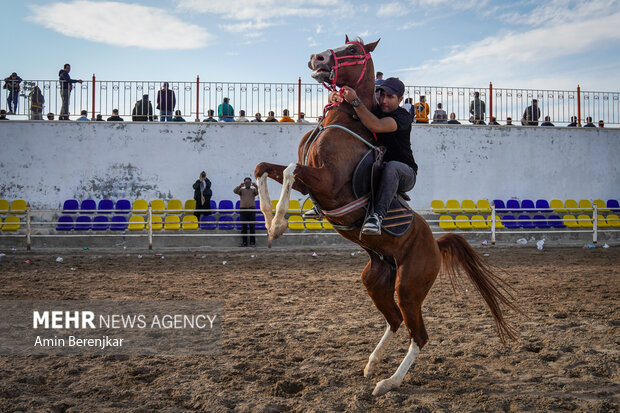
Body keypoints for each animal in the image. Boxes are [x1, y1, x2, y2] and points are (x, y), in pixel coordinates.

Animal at [254, 37, 516, 396]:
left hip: (409, 288)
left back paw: (388, 382)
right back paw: (372, 363)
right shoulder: (311, 183)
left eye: (353, 50)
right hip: (376, 279)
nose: (316, 58)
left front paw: (278, 224)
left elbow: (291, 170)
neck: (347, 120)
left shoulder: (327, 182)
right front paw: (268, 219)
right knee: (395, 321)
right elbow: (263, 168)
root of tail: (436, 244)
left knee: (418, 335)